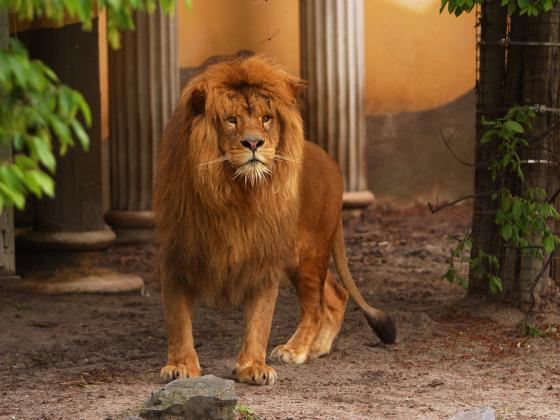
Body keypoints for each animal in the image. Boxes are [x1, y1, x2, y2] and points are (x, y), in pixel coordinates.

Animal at [153, 54, 396, 386]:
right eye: (231, 119)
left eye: (266, 118)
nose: (254, 143)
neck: (234, 192)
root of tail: (331, 161)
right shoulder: (176, 252)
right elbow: (177, 318)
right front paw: (181, 366)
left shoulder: (264, 257)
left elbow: (260, 318)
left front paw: (253, 367)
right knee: (336, 293)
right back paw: (317, 348)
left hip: (307, 251)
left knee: (315, 305)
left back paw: (297, 350)